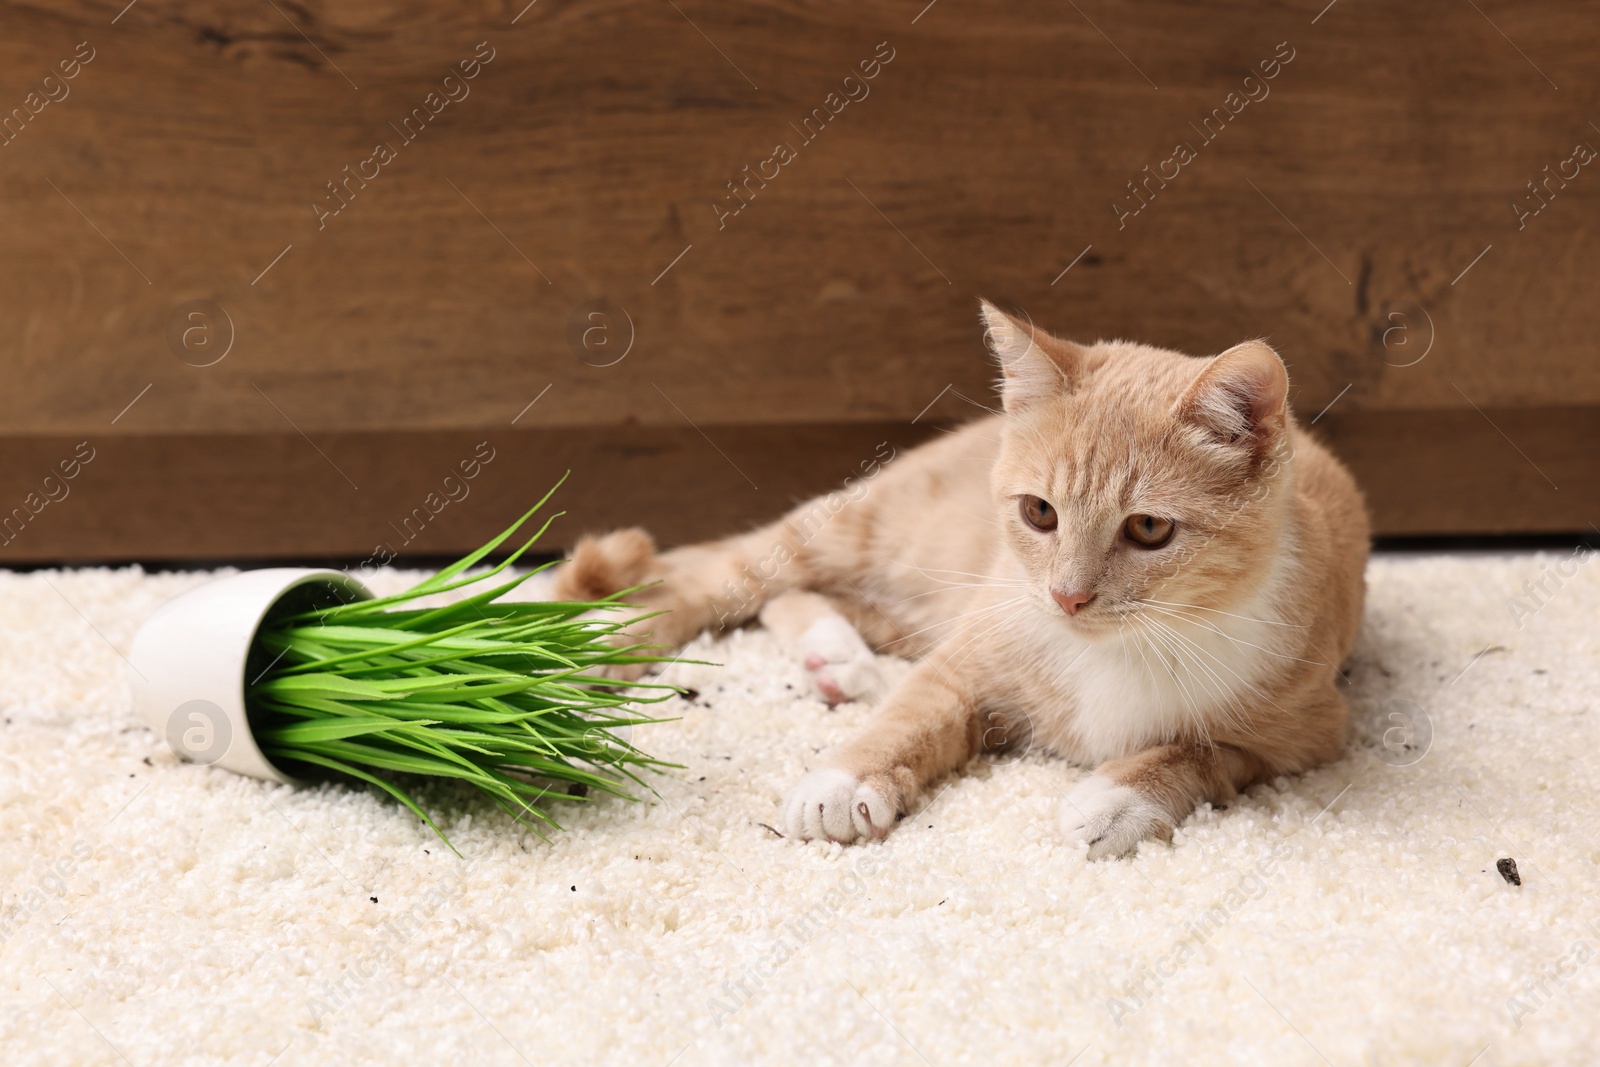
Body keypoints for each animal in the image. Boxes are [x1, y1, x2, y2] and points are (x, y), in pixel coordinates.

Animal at [556, 302, 1369, 857]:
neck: (1126, 647)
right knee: (720, 580)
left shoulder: (1306, 733)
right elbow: (912, 713)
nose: (1067, 596)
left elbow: (1201, 751)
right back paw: (590, 648)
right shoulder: (971, 653)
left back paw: (832, 657)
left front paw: (1118, 799)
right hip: (863, 534)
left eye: (1147, 529)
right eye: (1040, 512)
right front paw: (843, 781)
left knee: (787, 599)